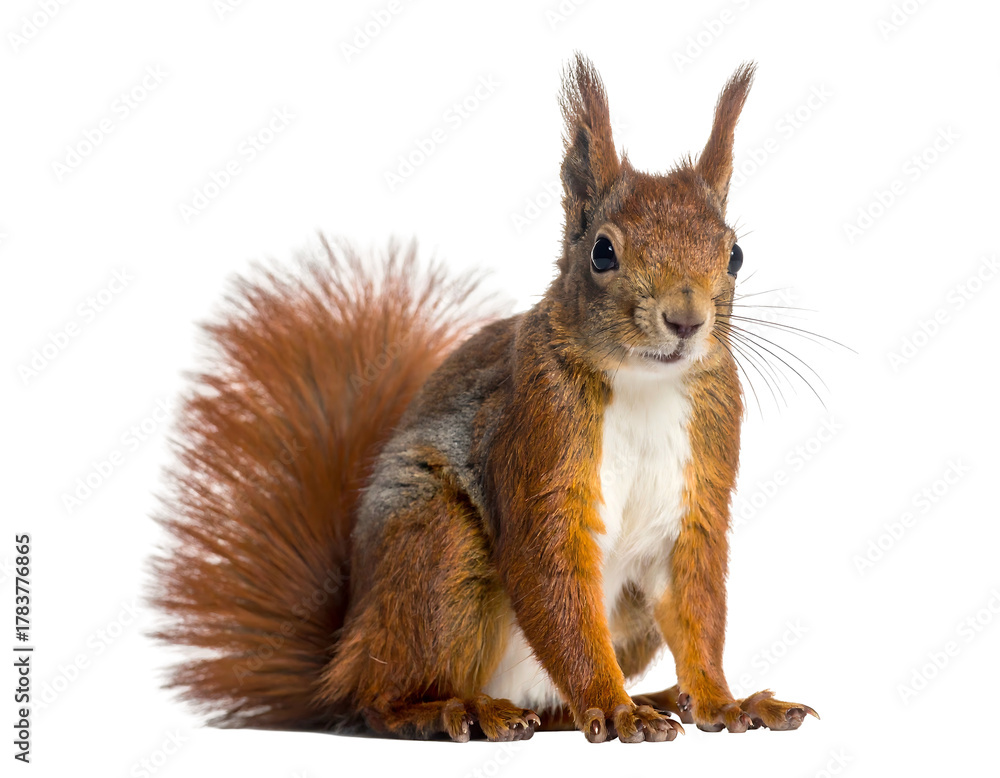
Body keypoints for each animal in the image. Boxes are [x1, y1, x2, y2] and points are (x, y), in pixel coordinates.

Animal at [151, 54, 818, 743]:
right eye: (602, 251)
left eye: (735, 254)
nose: (686, 319)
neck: (643, 384)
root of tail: (345, 650)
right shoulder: (536, 437)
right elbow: (549, 576)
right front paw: (614, 707)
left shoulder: (699, 487)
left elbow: (695, 606)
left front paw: (724, 702)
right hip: (438, 553)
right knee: (379, 700)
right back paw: (460, 709)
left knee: (551, 708)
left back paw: (652, 696)